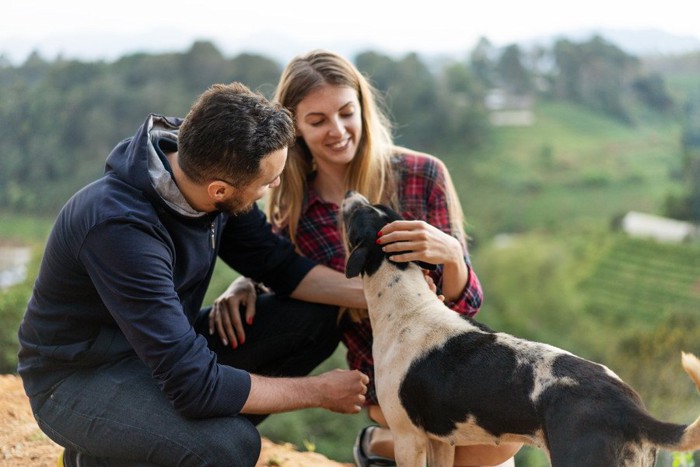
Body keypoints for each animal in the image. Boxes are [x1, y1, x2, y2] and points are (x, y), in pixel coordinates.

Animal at [342, 191, 700, 467]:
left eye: (358, 213)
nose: (349, 193)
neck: (407, 302)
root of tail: (629, 408)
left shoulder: (408, 438)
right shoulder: (440, 441)